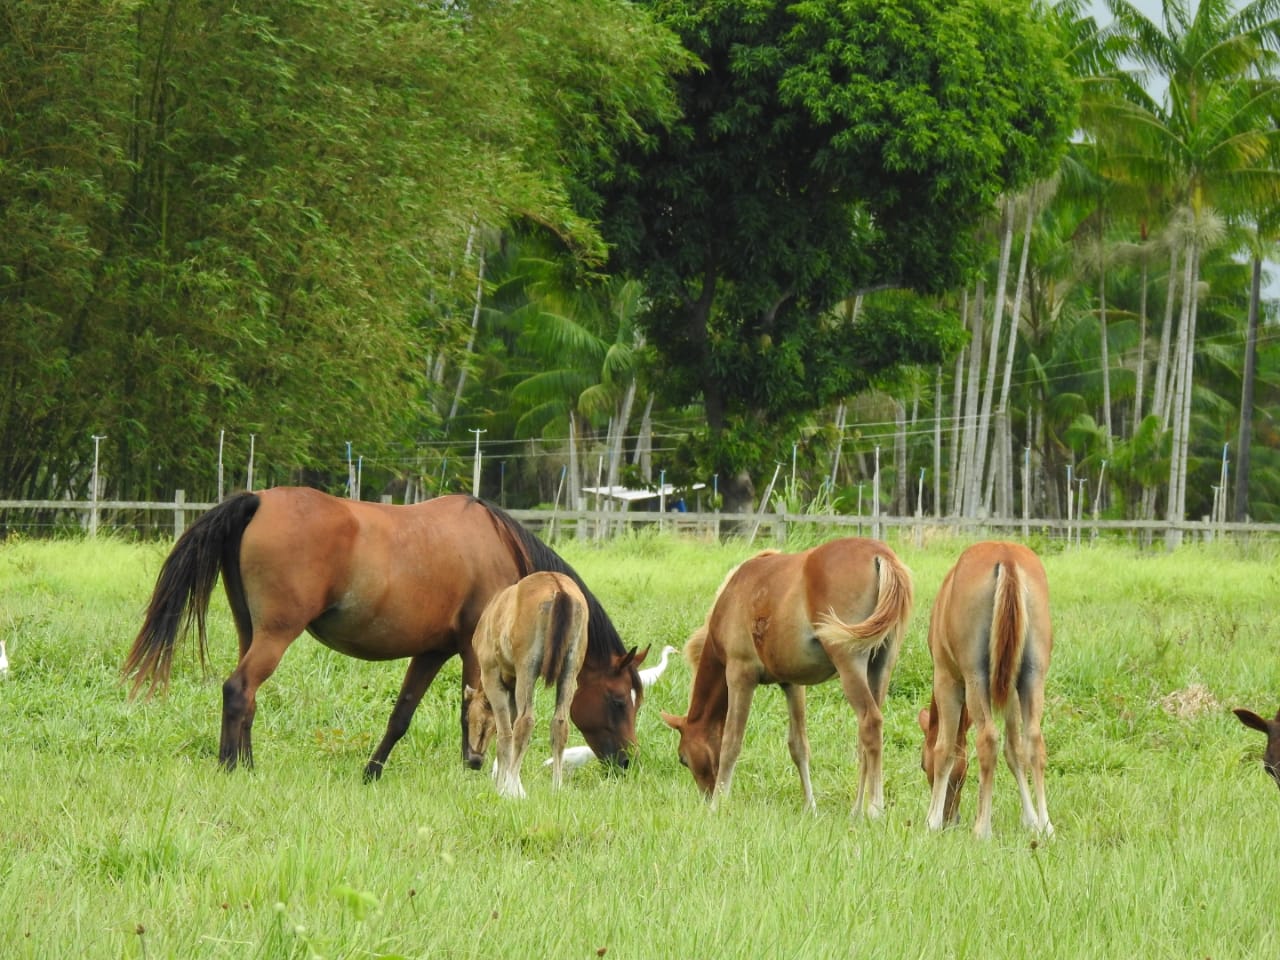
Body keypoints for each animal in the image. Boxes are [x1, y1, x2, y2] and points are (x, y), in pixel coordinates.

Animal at [464, 571, 588, 798]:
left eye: (468, 717)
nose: (474, 761)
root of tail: (558, 588)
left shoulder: (492, 674)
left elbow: (505, 734)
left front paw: (504, 789)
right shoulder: (512, 683)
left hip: (526, 670)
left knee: (526, 722)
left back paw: (511, 785)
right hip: (569, 671)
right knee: (560, 723)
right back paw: (556, 788)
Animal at [661, 537, 914, 816]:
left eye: (683, 759)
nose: (706, 795)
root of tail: (880, 554)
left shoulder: (740, 675)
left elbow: (731, 742)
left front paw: (718, 805)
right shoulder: (792, 683)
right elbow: (799, 745)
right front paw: (810, 807)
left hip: (850, 663)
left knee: (870, 723)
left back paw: (873, 809)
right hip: (880, 668)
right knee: (865, 739)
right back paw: (857, 809)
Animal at [919, 541, 1053, 839]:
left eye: (923, 764)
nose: (951, 818)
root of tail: (1007, 557)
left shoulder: (946, 679)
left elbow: (944, 749)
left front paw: (931, 820)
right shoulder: (1011, 692)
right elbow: (1015, 751)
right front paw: (1031, 820)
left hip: (974, 679)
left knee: (988, 739)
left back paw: (982, 828)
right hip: (1032, 676)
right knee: (1034, 740)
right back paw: (1046, 825)